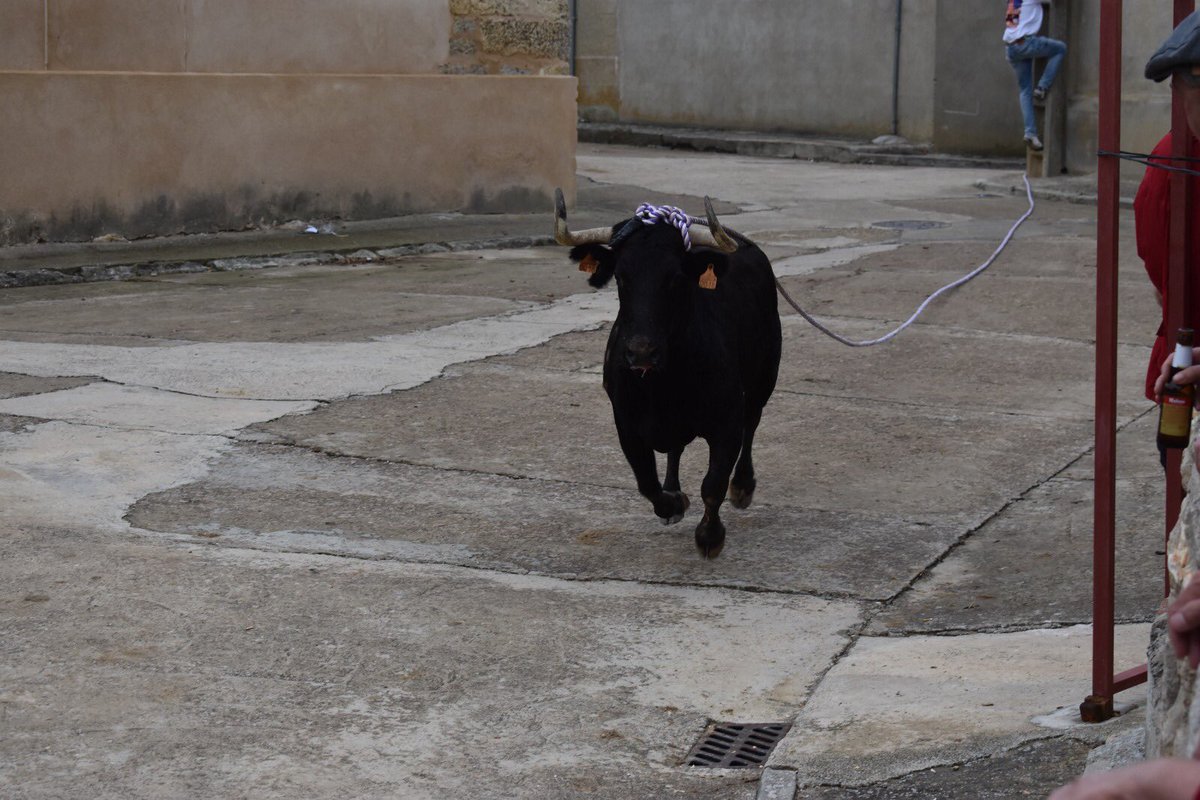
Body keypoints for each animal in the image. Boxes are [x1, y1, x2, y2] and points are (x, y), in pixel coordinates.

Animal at [553, 190, 782, 558]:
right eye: (621, 277)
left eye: (674, 278)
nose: (641, 352)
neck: (663, 384)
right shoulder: (626, 424)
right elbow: (647, 483)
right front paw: (672, 504)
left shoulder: (727, 421)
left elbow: (713, 483)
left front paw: (710, 536)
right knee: (675, 450)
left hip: (764, 378)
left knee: (753, 424)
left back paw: (743, 486)